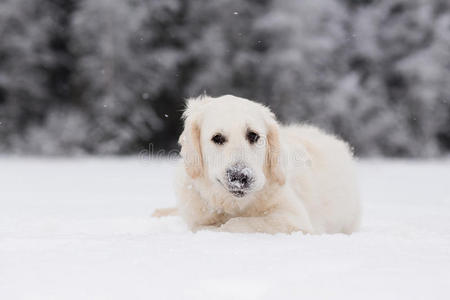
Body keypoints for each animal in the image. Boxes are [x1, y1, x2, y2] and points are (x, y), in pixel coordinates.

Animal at [153, 94, 360, 234]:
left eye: (253, 135)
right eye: (217, 138)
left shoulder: (294, 219)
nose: (240, 177)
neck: (233, 204)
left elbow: (236, 223)